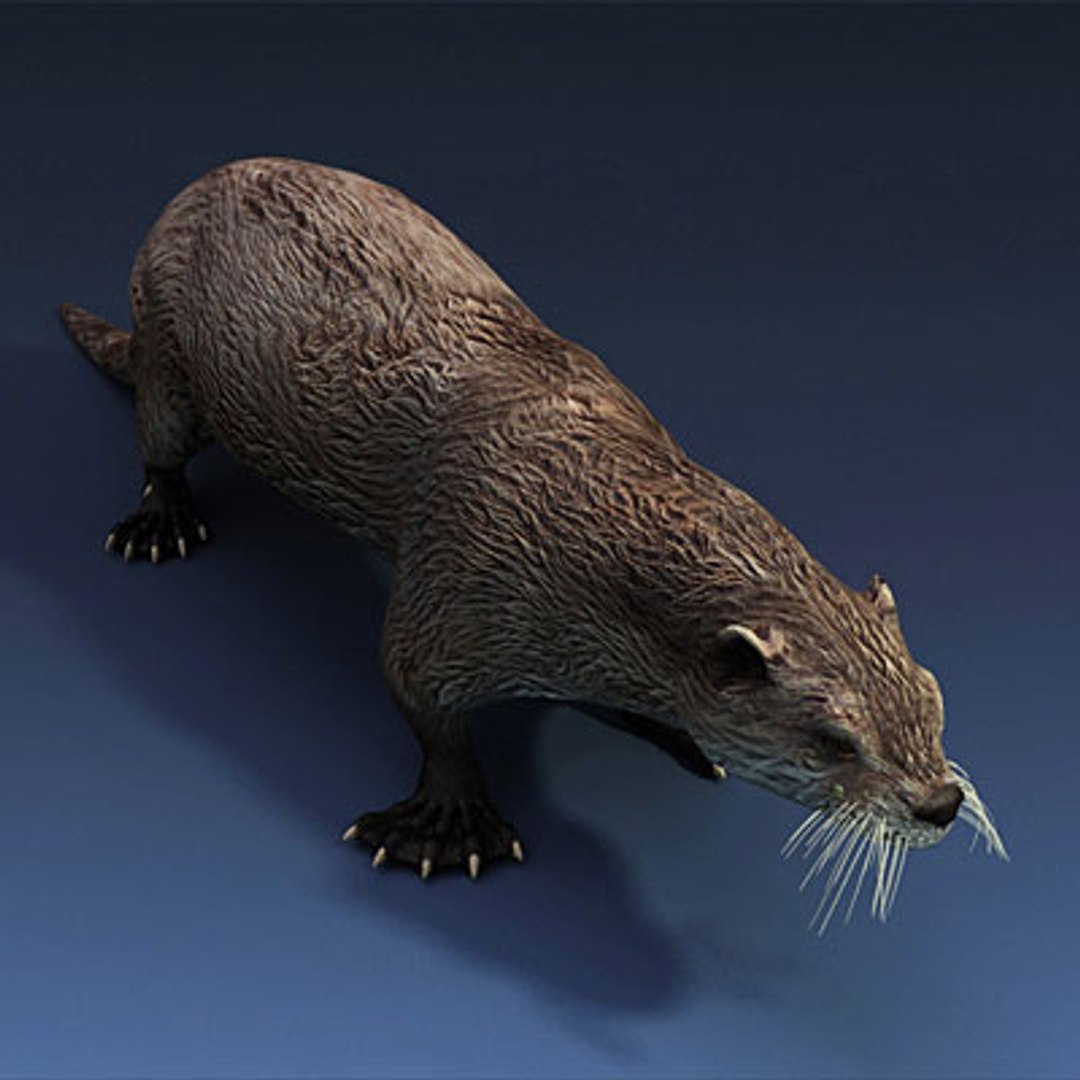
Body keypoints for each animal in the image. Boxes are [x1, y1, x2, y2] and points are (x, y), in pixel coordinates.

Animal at [59, 156, 1006, 930]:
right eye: (833, 740)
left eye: (932, 699)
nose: (939, 802)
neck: (586, 505)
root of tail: (186, 194)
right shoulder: (471, 566)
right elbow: (417, 688)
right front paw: (447, 826)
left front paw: (678, 740)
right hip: (171, 349)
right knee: (159, 436)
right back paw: (159, 523)